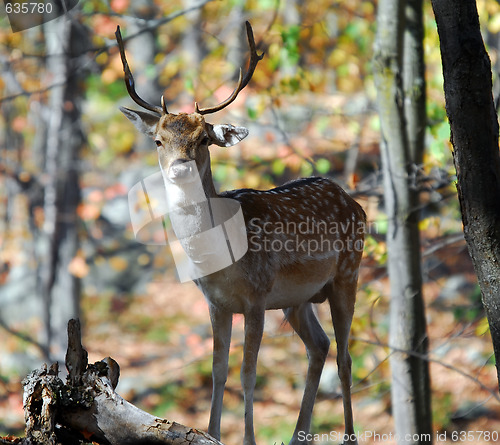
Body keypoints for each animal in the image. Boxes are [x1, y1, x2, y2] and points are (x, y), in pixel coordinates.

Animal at [117, 21, 368, 444]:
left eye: (203, 138)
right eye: (158, 140)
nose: (180, 168)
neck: (221, 261)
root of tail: (354, 201)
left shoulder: (257, 295)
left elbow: (248, 373)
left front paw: (247, 437)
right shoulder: (216, 302)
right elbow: (218, 371)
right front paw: (212, 432)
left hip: (346, 274)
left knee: (346, 357)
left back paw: (349, 434)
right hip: (297, 298)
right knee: (319, 346)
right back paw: (298, 434)